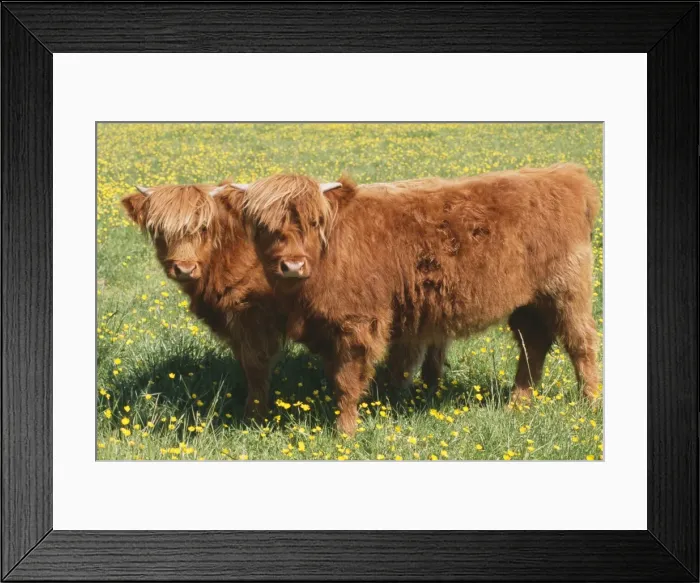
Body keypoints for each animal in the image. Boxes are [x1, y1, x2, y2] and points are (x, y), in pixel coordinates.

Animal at [240, 164, 601, 435]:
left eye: (314, 223)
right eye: (264, 227)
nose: (292, 265)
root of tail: (565, 174)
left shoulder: (358, 324)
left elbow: (347, 381)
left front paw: (345, 432)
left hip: (567, 292)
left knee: (581, 344)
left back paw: (591, 402)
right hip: (528, 303)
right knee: (532, 344)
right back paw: (519, 403)